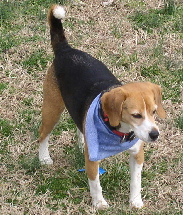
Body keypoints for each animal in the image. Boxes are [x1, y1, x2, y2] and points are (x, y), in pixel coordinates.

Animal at [38, 4, 166, 210]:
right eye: (136, 115)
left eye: (154, 112)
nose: (155, 135)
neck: (119, 132)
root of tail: (65, 50)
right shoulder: (92, 160)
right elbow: (95, 183)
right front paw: (99, 203)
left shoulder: (137, 154)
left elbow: (136, 181)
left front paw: (135, 201)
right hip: (52, 109)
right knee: (43, 134)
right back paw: (43, 158)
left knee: (78, 124)